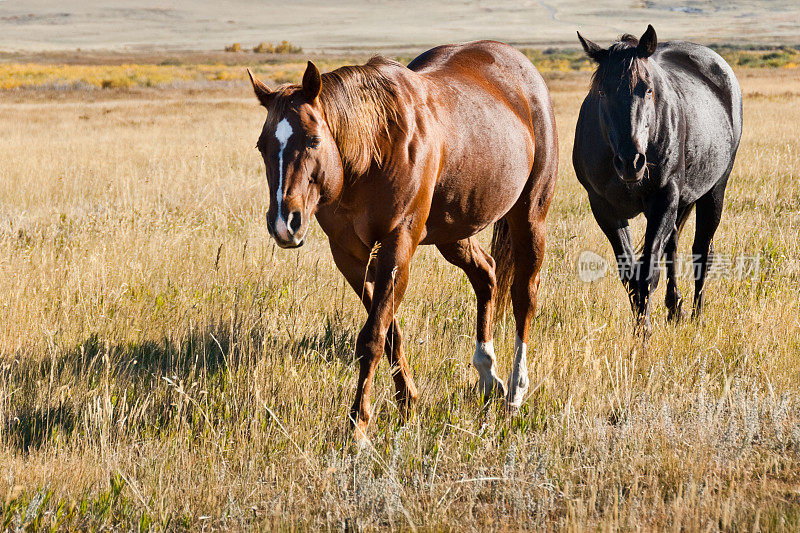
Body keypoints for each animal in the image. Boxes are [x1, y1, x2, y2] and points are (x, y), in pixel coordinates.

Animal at [248, 40, 556, 440]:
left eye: (313, 139)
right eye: (261, 146)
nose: (285, 223)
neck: (373, 151)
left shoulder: (398, 245)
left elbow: (373, 335)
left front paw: (358, 426)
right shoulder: (349, 255)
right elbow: (389, 331)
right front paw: (407, 402)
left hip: (530, 216)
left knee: (523, 296)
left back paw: (516, 390)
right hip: (453, 231)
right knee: (486, 275)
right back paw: (488, 376)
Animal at [576, 27, 744, 330]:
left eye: (648, 89)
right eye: (602, 92)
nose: (630, 162)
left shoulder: (664, 197)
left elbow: (647, 272)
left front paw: (643, 333)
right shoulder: (603, 208)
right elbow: (629, 274)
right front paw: (640, 325)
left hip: (714, 190)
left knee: (702, 251)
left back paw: (696, 315)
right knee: (673, 247)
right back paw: (674, 308)